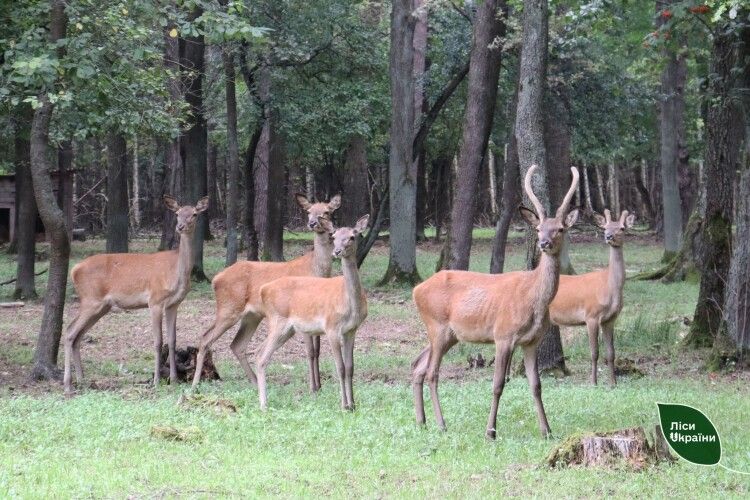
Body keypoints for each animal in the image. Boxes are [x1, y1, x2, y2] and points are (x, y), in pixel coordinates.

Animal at [64, 195, 209, 394]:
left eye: (194, 214)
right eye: (177, 213)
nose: (180, 227)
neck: (176, 273)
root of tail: (74, 270)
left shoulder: (174, 304)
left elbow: (172, 340)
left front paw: (173, 380)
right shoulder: (155, 300)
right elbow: (158, 341)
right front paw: (156, 381)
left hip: (101, 306)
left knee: (77, 335)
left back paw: (82, 380)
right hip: (90, 299)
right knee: (69, 332)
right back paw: (68, 384)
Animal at [189, 193, 342, 388]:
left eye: (327, 211)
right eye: (309, 211)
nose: (312, 223)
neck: (314, 269)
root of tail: (216, 279)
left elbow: (318, 350)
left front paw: (319, 385)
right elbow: (310, 351)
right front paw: (313, 387)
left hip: (252, 315)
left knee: (237, 344)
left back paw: (255, 381)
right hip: (229, 309)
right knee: (205, 338)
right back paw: (195, 384)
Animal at [258, 215, 372, 410]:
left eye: (352, 236)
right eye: (333, 236)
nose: (337, 251)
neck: (349, 304)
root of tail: (263, 290)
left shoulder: (351, 330)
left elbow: (350, 368)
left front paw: (353, 404)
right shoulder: (331, 327)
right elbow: (340, 368)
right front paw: (344, 405)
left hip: (287, 329)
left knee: (257, 352)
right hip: (278, 320)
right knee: (262, 358)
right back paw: (264, 405)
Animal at [412, 165, 580, 438]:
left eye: (560, 229)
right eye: (538, 229)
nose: (544, 243)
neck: (534, 299)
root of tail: (416, 289)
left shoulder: (531, 341)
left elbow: (536, 385)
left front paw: (547, 430)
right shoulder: (503, 335)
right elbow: (498, 384)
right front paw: (490, 430)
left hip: (449, 334)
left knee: (417, 365)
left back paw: (421, 421)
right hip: (436, 325)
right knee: (431, 373)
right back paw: (441, 423)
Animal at [548, 209, 636, 384]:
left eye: (622, 228)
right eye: (605, 227)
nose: (609, 236)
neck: (609, 288)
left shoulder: (610, 319)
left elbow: (611, 353)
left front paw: (613, 383)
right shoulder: (591, 315)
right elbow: (594, 353)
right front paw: (593, 382)